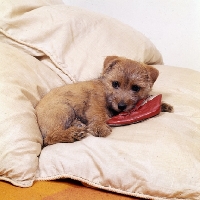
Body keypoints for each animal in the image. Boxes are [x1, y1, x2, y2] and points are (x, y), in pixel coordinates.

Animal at [35, 55, 173, 146]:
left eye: (135, 88)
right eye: (115, 84)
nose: (121, 106)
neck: (105, 89)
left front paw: (164, 105)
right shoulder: (95, 103)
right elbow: (99, 114)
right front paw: (100, 127)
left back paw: (77, 125)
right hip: (64, 109)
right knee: (50, 137)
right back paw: (73, 134)